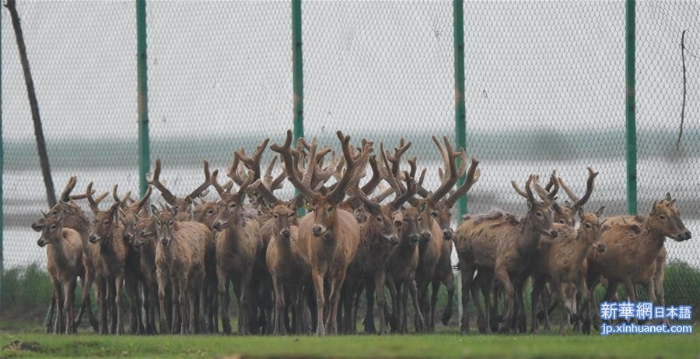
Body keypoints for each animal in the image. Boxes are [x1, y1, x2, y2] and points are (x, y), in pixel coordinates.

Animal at [268, 130, 370, 338]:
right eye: (314, 208)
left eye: (330, 208)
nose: (316, 229)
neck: (330, 254)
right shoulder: (316, 267)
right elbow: (321, 298)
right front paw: (320, 329)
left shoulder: (342, 268)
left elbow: (334, 298)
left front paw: (333, 328)